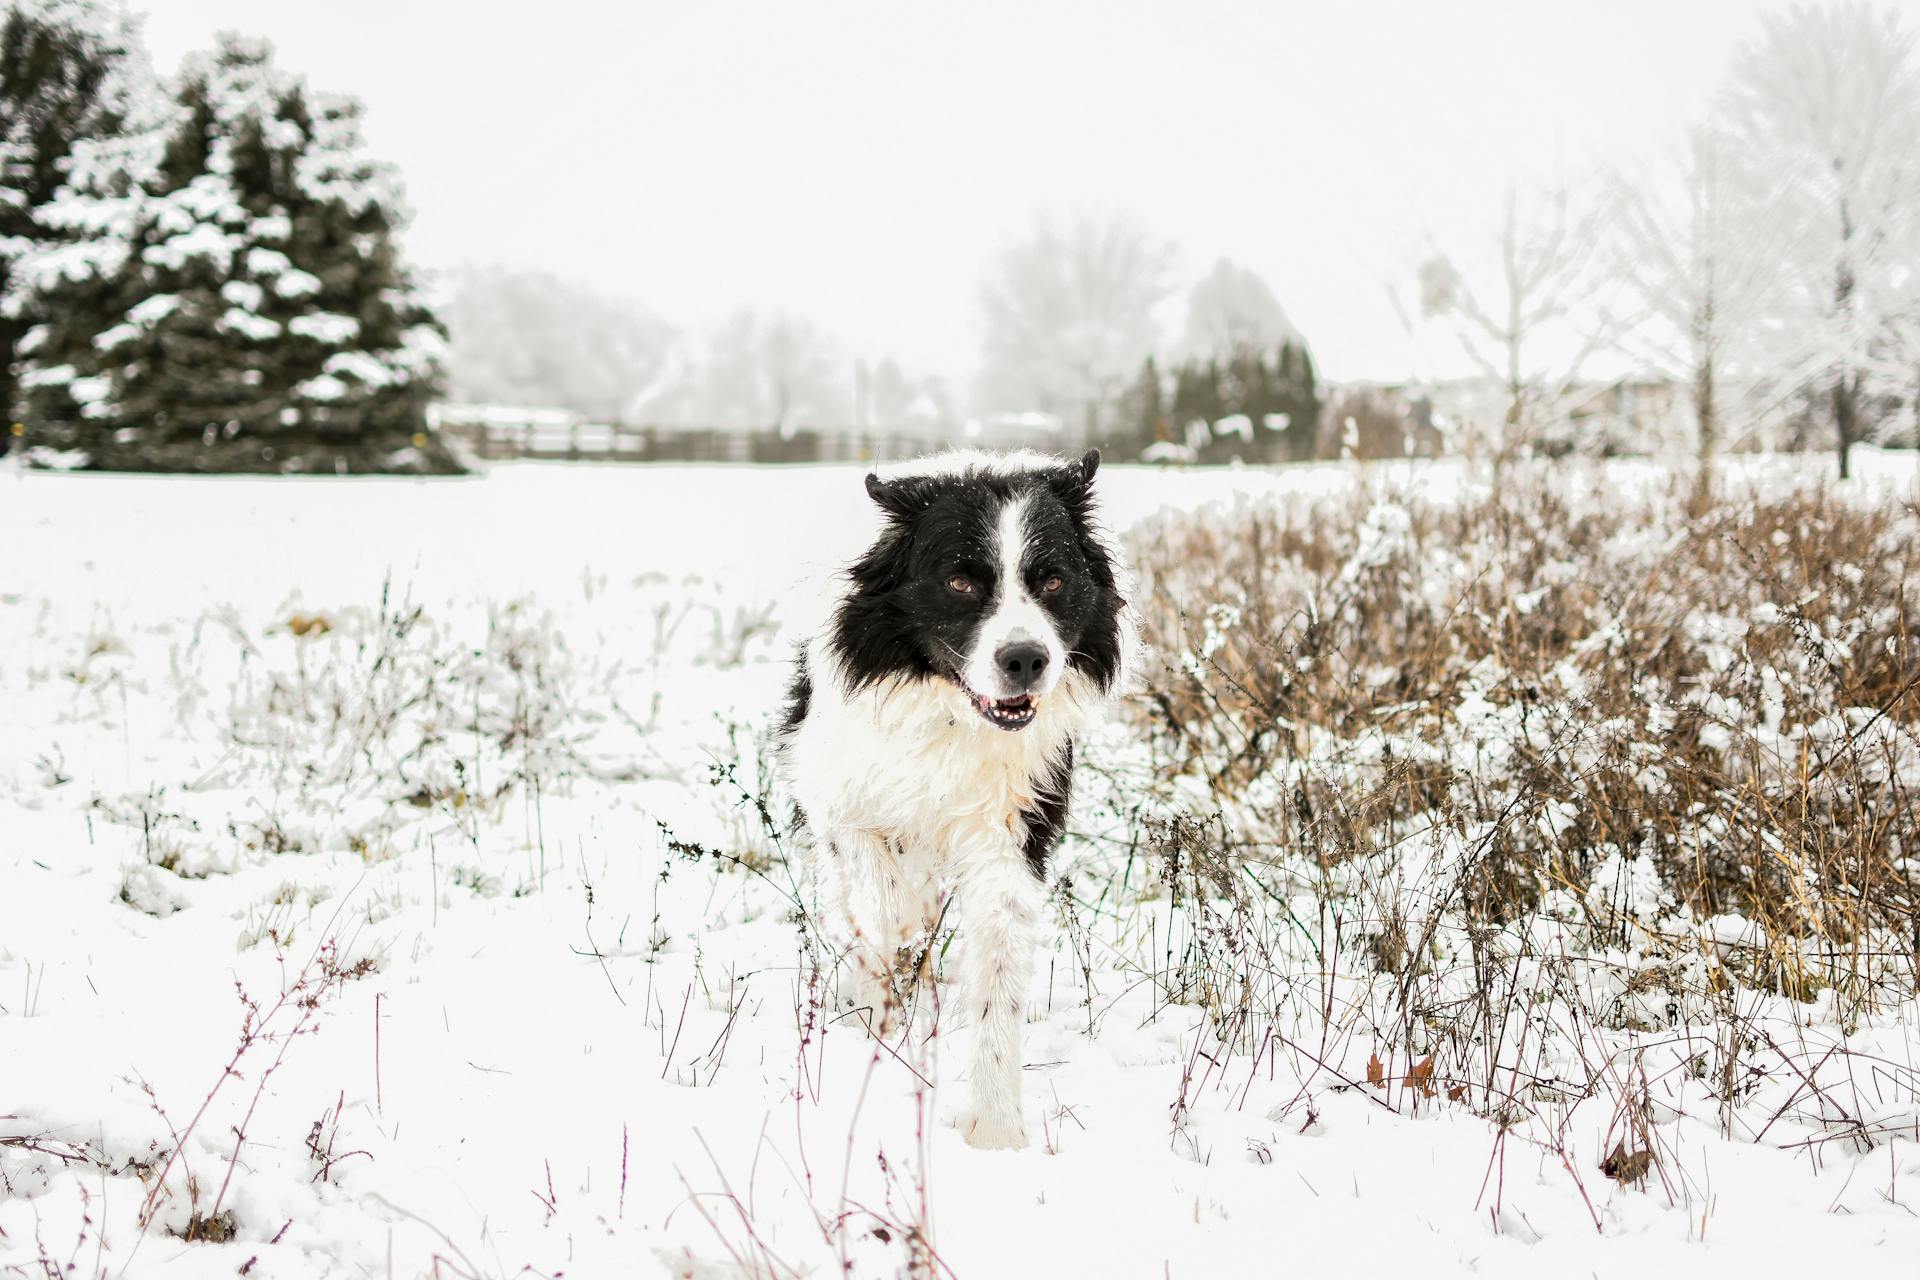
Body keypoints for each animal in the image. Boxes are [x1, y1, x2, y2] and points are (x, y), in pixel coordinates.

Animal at [775, 450, 1128, 1151]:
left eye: (1053, 582)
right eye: (961, 583)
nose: (1025, 658)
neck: (951, 716)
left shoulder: (1012, 830)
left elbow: (997, 971)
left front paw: (994, 1127)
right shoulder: (841, 800)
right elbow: (882, 905)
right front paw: (879, 1004)